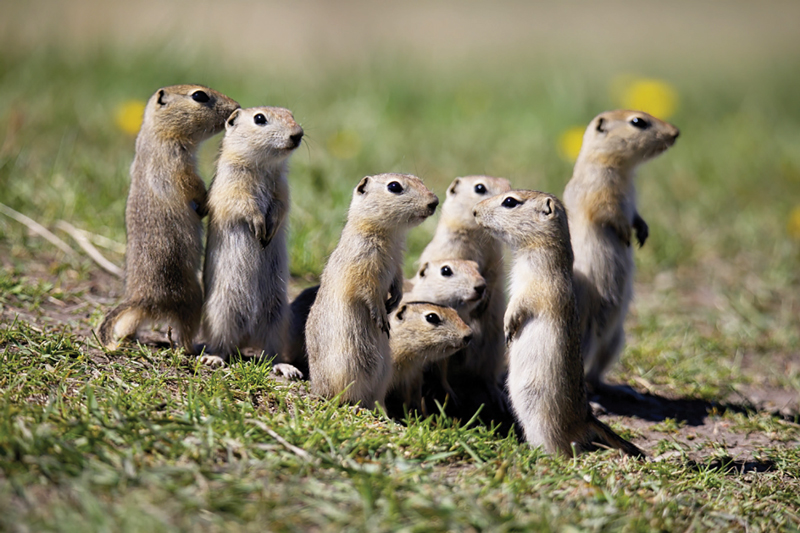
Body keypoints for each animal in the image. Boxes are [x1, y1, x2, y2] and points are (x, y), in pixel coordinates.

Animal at [98, 85, 239, 353]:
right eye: (199, 95)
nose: (236, 107)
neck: (155, 135)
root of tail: (142, 298)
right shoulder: (175, 161)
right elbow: (191, 184)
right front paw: (204, 203)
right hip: (192, 299)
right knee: (183, 336)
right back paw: (194, 349)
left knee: (130, 322)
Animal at [200, 106, 304, 378]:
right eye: (259, 118)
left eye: (291, 113)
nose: (298, 134)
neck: (263, 167)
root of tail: (246, 338)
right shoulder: (231, 184)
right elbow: (242, 204)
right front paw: (259, 226)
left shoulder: (282, 188)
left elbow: (281, 206)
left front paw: (270, 229)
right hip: (221, 312)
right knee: (222, 344)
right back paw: (213, 358)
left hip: (277, 317)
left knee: (271, 352)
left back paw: (287, 368)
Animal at [306, 173, 438, 408]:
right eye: (394, 186)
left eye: (420, 180)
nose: (434, 201)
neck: (389, 235)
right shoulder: (362, 264)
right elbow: (368, 290)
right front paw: (381, 316)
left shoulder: (397, 263)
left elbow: (397, 281)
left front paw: (394, 302)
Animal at [474, 189, 643, 457]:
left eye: (510, 202)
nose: (475, 211)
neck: (534, 249)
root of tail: (586, 418)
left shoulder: (540, 287)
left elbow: (521, 304)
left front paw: (508, 326)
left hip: (544, 420)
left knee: (564, 449)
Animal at [563, 110, 679, 389]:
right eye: (638, 122)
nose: (676, 132)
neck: (624, 172)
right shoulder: (599, 189)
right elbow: (609, 213)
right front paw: (626, 234)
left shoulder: (631, 199)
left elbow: (634, 214)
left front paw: (642, 231)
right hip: (587, 334)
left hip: (617, 339)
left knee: (597, 368)